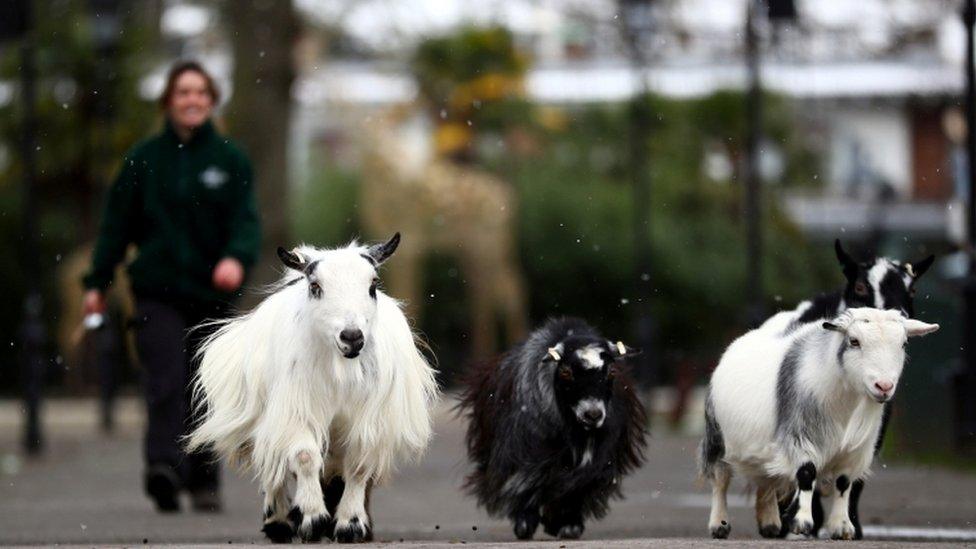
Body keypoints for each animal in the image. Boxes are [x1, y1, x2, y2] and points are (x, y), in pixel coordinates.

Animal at [187, 233, 438, 540]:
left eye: (372, 285)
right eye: (316, 286)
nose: (352, 337)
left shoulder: (370, 420)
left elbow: (358, 466)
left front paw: (350, 525)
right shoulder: (295, 411)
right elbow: (305, 457)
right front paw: (312, 518)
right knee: (274, 464)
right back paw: (278, 522)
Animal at [460, 316, 648, 540]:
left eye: (611, 371)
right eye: (566, 371)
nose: (592, 414)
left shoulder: (596, 462)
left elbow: (576, 487)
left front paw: (568, 525)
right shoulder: (525, 452)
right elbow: (525, 482)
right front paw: (525, 523)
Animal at [696, 308, 936, 540]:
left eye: (903, 343)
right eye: (854, 341)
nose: (884, 386)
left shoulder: (854, 450)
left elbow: (843, 483)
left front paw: (842, 527)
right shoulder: (800, 435)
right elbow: (807, 473)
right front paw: (802, 522)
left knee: (767, 478)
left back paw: (770, 524)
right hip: (716, 437)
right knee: (720, 480)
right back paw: (719, 525)